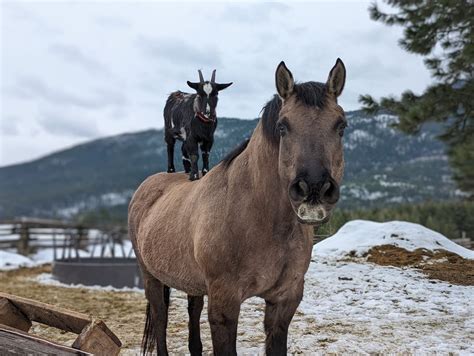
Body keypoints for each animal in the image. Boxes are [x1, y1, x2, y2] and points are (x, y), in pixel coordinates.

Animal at [128, 59, 346, 354]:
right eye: (283, 126)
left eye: (341, 125)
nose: (314, 189)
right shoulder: (225, 305)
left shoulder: (284, 302)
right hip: (151, 277)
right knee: (160, 318)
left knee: (193, 313)